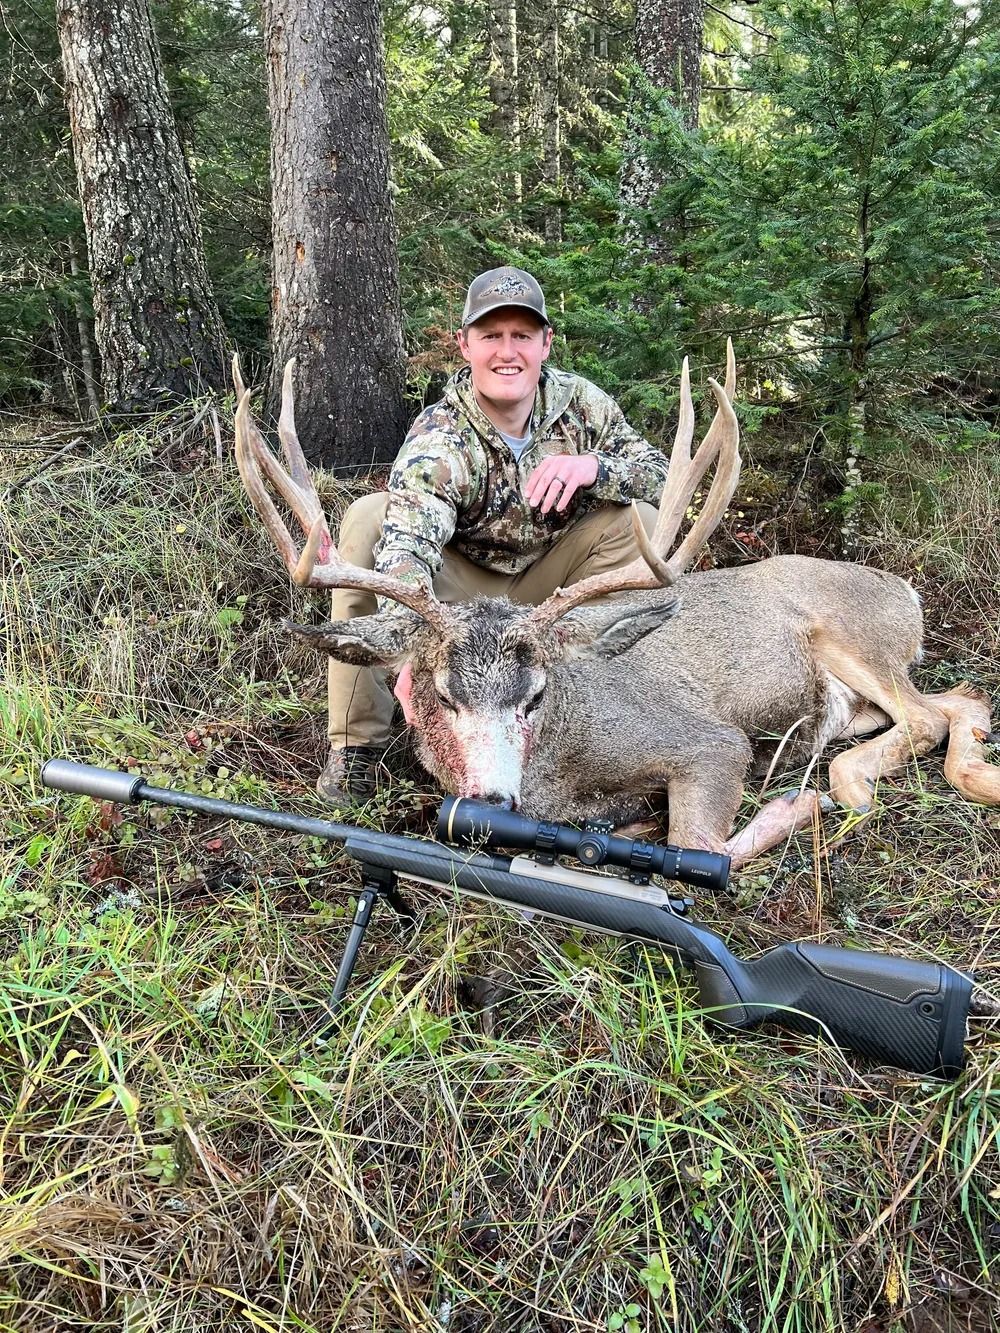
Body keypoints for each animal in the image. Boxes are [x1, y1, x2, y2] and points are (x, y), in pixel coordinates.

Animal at [231, 351, 1000, 870]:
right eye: (443, 696)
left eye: (536, 694)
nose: (492, 805)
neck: (558, 771)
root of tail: (906, 591)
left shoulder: (711, 740)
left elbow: (697, 846)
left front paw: (794, 804)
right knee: (957, 699)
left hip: (852, 634)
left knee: (925, 713)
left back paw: (854, 786)